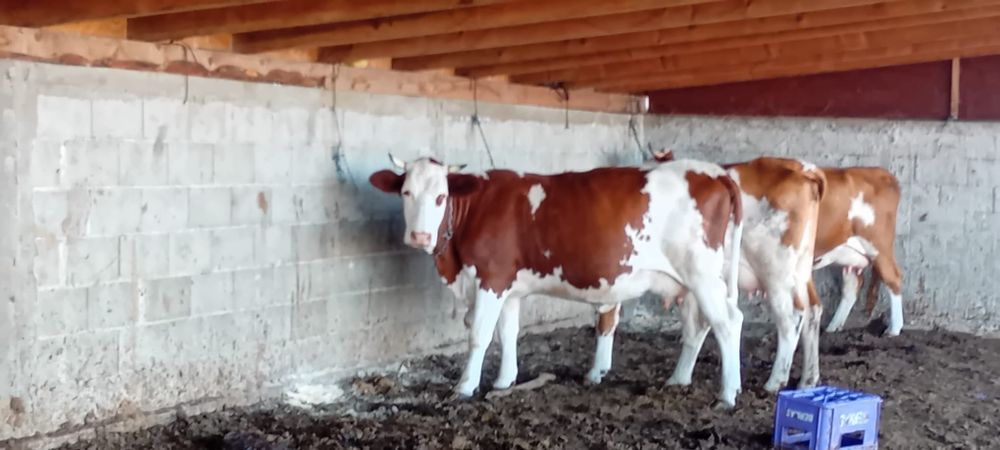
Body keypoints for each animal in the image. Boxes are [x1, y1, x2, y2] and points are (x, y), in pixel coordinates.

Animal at [370, 155, 747, 407]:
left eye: (440, 197)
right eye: (405, 193)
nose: (418, 236)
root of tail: (713, 171)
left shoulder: (491, 278)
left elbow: (479, 335)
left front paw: (465, 386)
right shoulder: (510, 287)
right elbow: (508, 333)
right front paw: (505, 380)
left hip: (702, 274)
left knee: (728, 322)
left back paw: (728, 394)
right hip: (691, 283)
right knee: (698, 327)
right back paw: (678, 379)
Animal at [607, 151, 826, 392]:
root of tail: (799, 168)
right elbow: (695, 326)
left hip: (775, 272)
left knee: (791, 318)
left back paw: (774, 382)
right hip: (800, 270)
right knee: (812, 310)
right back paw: (808, 379)